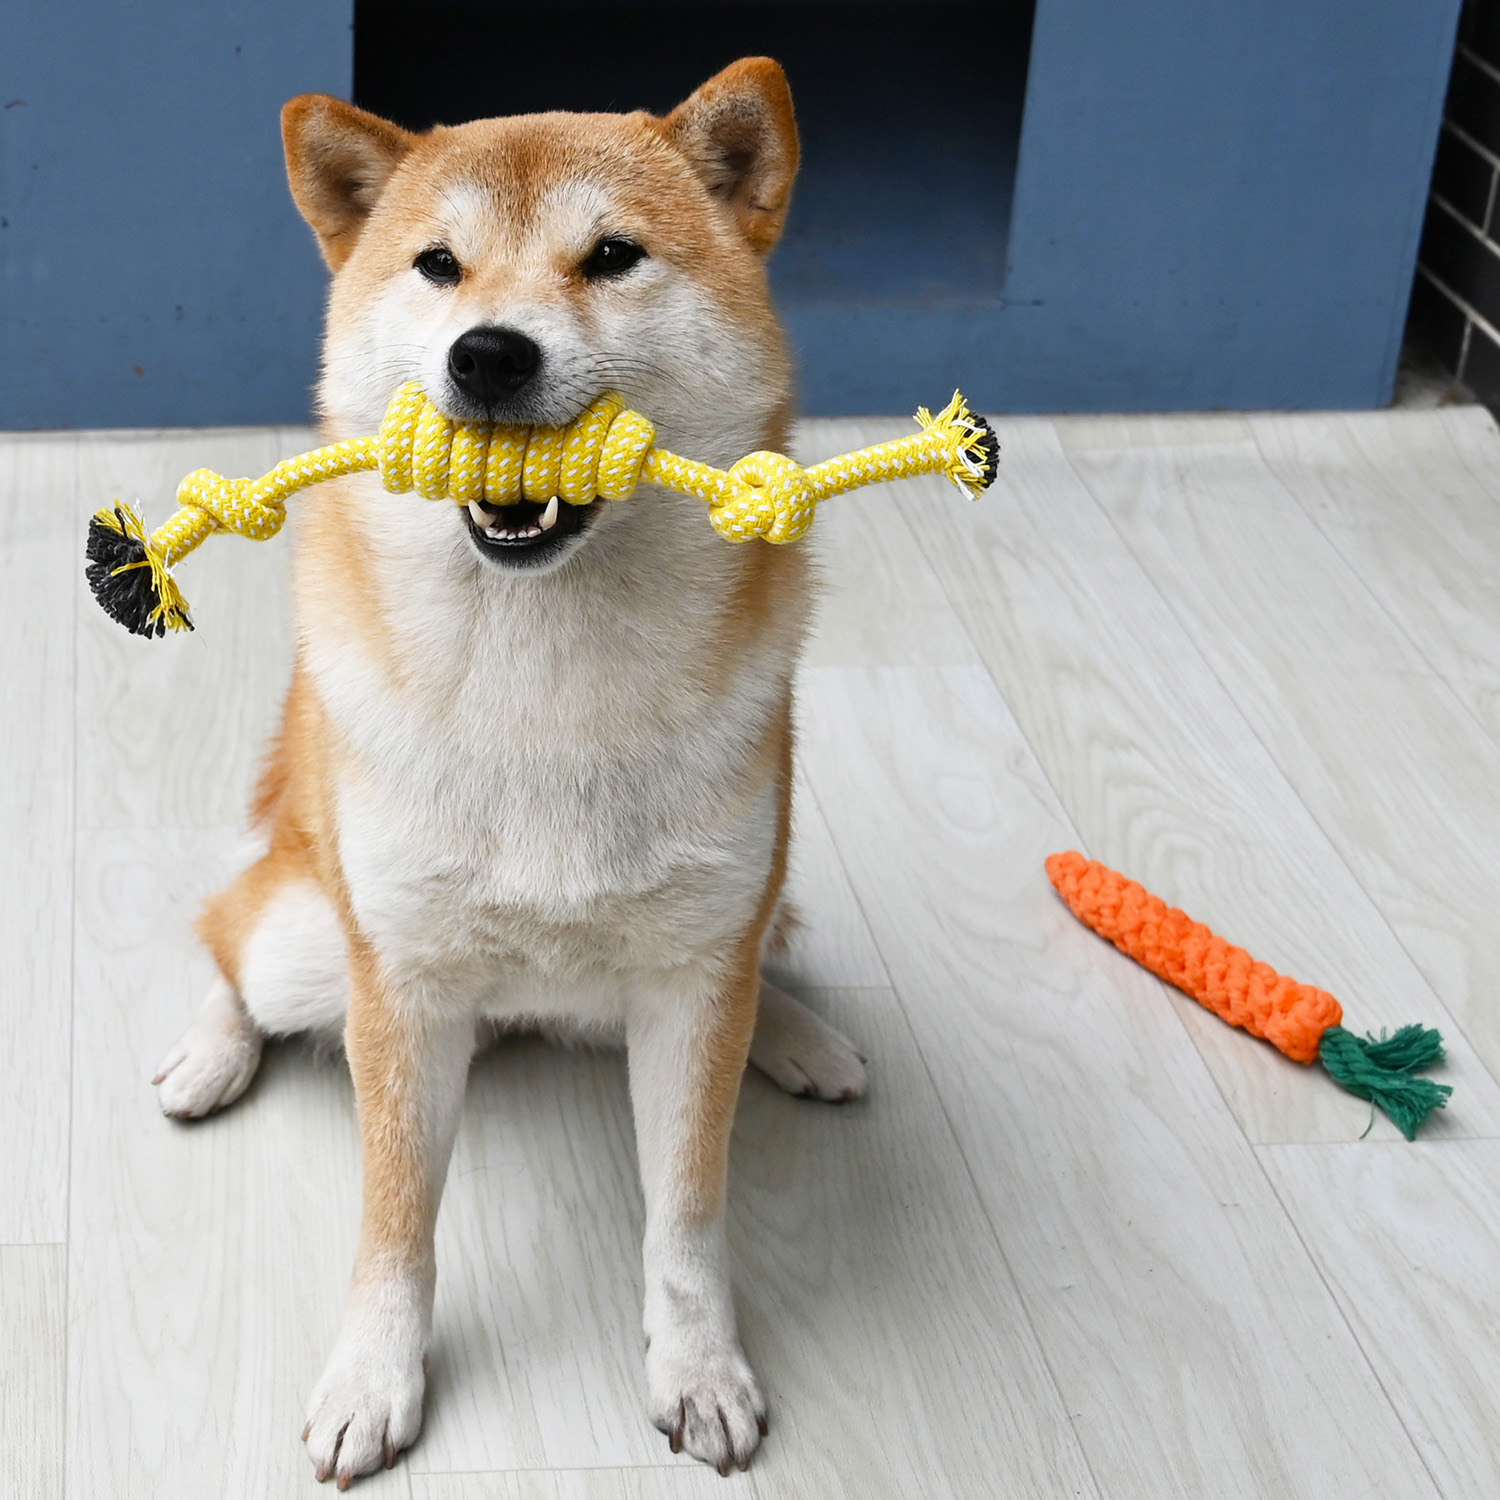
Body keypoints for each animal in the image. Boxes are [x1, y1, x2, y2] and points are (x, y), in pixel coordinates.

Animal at [149, 52, 870, 1482]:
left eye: (612, 256)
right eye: (438, 266)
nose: (487, 352)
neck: (546, 676)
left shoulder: (695, 978)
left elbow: (687, 1216)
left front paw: (699, 1370)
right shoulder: (402, 986)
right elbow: (393, 1228)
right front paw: (371, 1379)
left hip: (745, 910)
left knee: (770, 955)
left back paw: (803, 1035)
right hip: (315, 937)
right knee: (232, 935)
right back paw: (210, 1053)